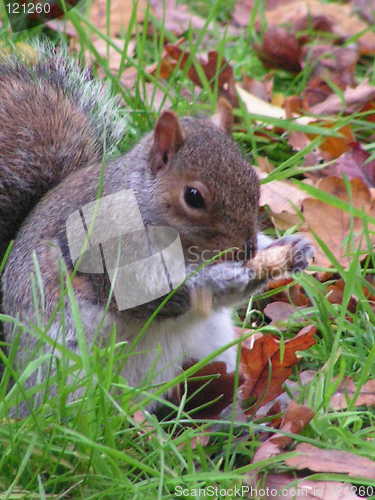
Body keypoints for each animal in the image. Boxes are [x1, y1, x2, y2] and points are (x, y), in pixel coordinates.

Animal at [0, 43, 314, 416]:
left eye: (254, 181)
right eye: (193, 196)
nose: (246, 251)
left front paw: (293, 248)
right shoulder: (108, 250)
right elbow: (153, 295)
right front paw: (220, 278)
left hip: (212, 347)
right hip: (62, 362)